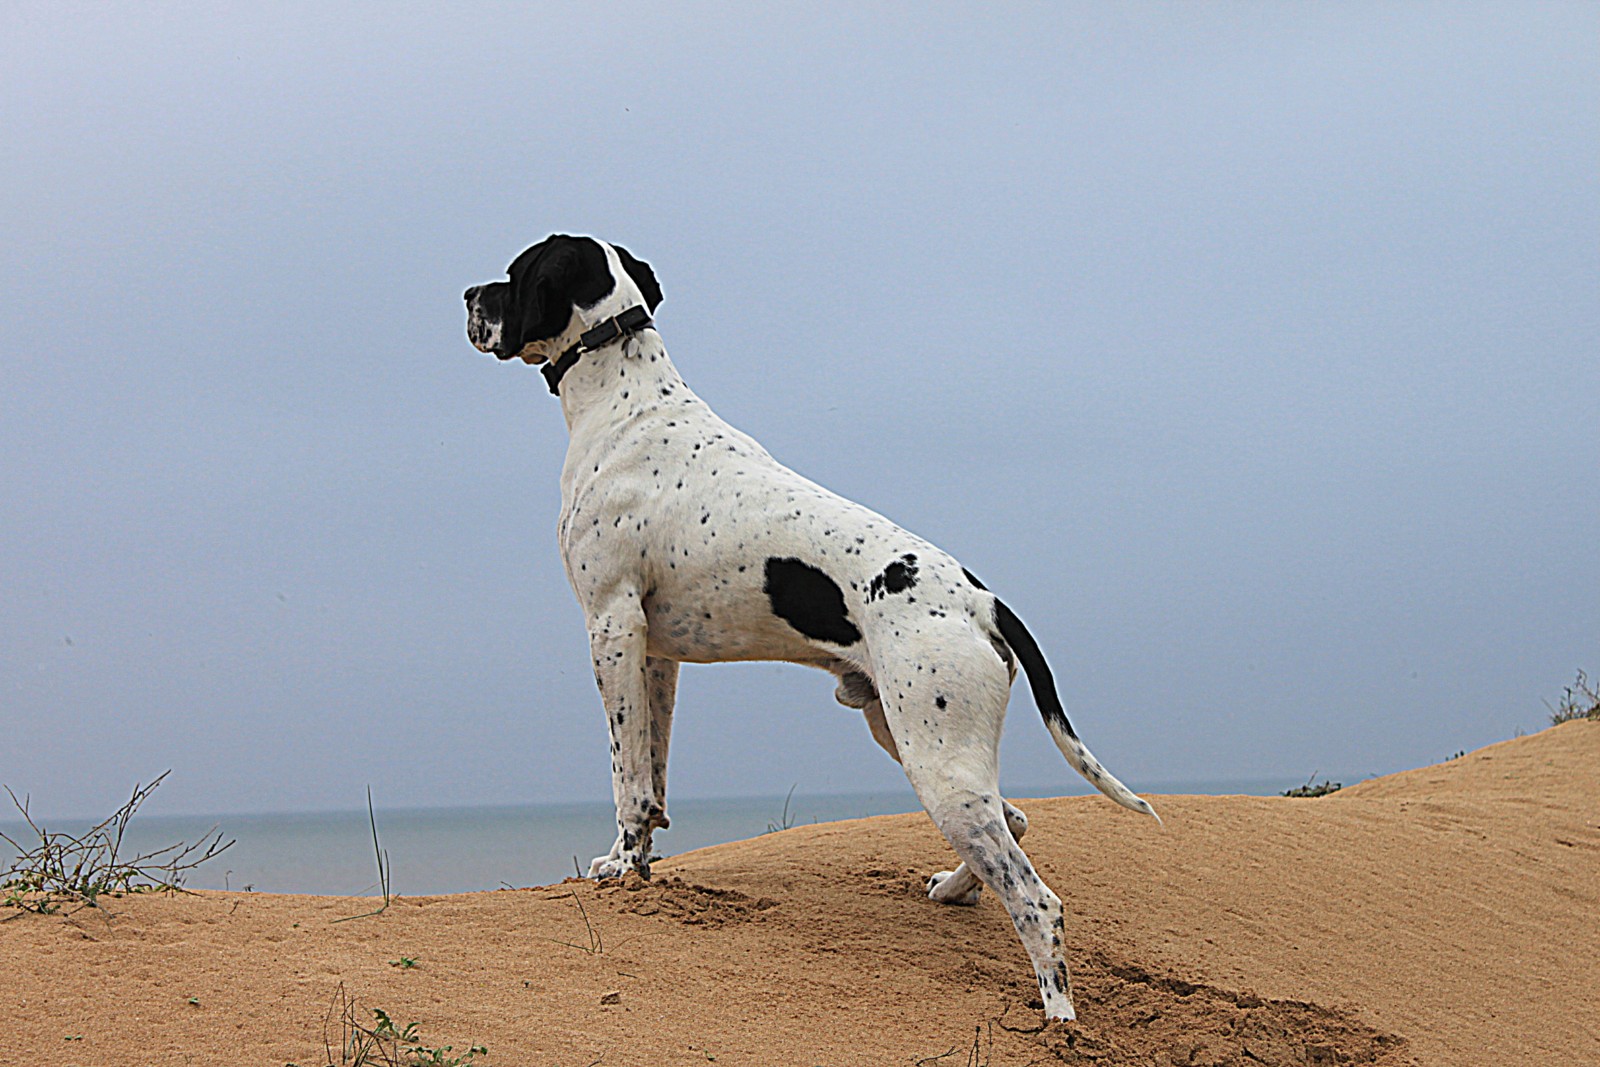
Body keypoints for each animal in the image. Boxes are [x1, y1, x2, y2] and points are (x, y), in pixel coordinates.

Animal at [457, 238, 1158, 1023]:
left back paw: (1058, 1015)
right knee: (1012, 822)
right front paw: (638, 864)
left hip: (937, 762)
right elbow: (653, 772)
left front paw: (615, 864)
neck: (623, 403)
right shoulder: (654, 654)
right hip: (914, 739)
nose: (466, 296)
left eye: (514, 274)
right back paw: (953, 888)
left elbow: (626, 777)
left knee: (1037, 898)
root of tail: (984, 602)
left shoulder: (609, 624)